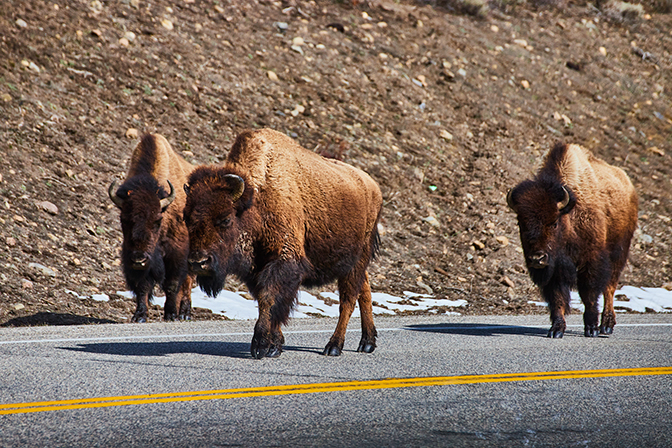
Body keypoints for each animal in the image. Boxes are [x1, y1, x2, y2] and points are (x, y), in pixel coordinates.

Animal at [109, 133, 196, 322]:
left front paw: (171, 314)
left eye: (157, 221)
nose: (139, 259)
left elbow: (172, 284)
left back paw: (184, 314)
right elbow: (142, 286)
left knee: (187, 282)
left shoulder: (177, 254)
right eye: (124, 219)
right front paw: (139, 316)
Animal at [184, 128, 384, 358]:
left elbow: (270, 298)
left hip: (356, 260)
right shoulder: (258, 269)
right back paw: (367, 343)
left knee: (348, 300)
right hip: (355, 264)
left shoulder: (284, 260)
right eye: (186, 218)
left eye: (226, 219)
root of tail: (373, 187)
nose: (198, 262)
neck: (257, 198)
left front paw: (261, 346)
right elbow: (266, 301)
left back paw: (334, 346)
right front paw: (274, 345)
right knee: (364, 290)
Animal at [504, 144, 640, 340]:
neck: (569, 215)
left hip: (619, 253)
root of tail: (628, 185)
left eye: (554, 222)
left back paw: (606, 326)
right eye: (520, 223)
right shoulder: (554, 270)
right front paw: (556, 330)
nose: (537, 259)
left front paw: (591, 328)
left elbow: (589, 294)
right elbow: (558, 299)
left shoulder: (591, 262)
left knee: (610, 288)